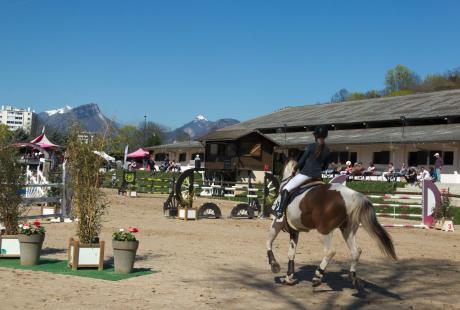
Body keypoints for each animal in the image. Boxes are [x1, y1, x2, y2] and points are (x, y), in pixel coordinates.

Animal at [264, 161, 398, 286]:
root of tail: (352, 195)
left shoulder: (277, 223)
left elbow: (268, 242)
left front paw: (274, 265)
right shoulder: (294, 231)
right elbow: (291, 254)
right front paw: (288, 278)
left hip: (324, 230)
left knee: (330, 251)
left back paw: (318, 277)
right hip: (347, 230)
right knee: (356, 251)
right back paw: (352, 276)